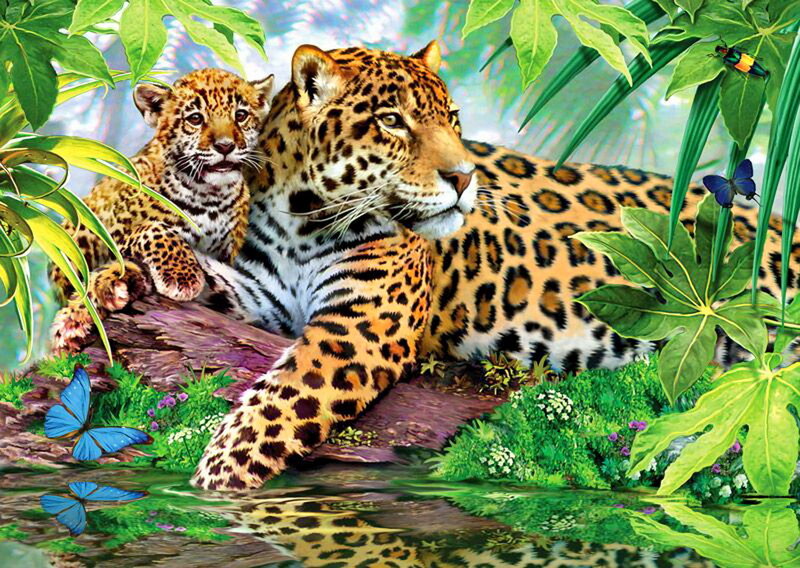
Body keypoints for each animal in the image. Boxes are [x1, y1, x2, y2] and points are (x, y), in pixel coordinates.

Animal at [50, 68, 274, 352]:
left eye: (241, 115)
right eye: (195, 119)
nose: (225, 146)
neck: (209, 195)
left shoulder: (227, 255)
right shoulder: (113, 237)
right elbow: (154, 229)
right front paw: (183, 277)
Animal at [184, 42, 799, 492]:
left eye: (452, 120)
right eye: (392, 121)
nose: (463, 177)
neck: (301, 218)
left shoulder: (362, 327)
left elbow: (283, 396)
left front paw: (217, 476)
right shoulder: (262, 295)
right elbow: (208, 283)